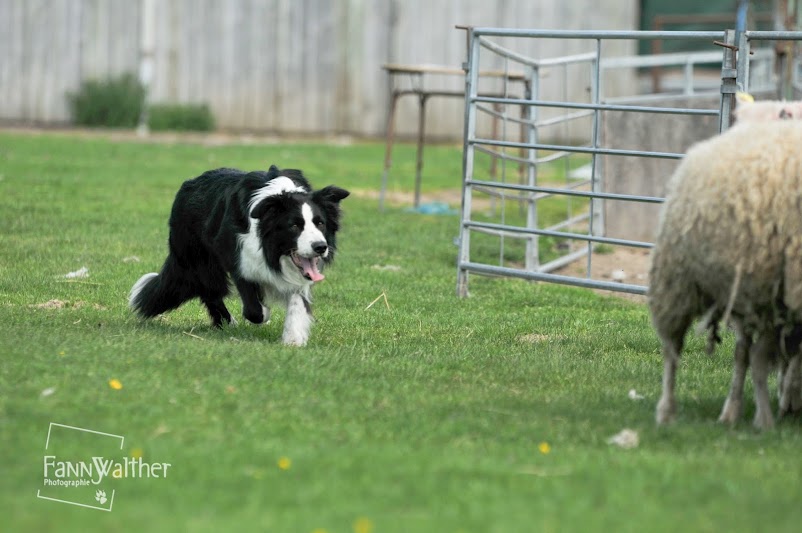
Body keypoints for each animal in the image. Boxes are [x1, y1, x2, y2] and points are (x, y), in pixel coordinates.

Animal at [128, 164, 346, 344]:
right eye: (294, 226)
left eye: (320, 223)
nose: (320, 247)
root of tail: (190, 184)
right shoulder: (238, 257)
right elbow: (254, 309)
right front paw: (264, 311)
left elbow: (297, 301)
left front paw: (293, 339)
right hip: (198, 256)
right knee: (210, 290)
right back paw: (227, 322)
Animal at [644, 117, 802, 428]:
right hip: (678, 280)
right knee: (672, 350)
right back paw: (668, 411)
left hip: (751, 293)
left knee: (747, 353)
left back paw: (743, 411)